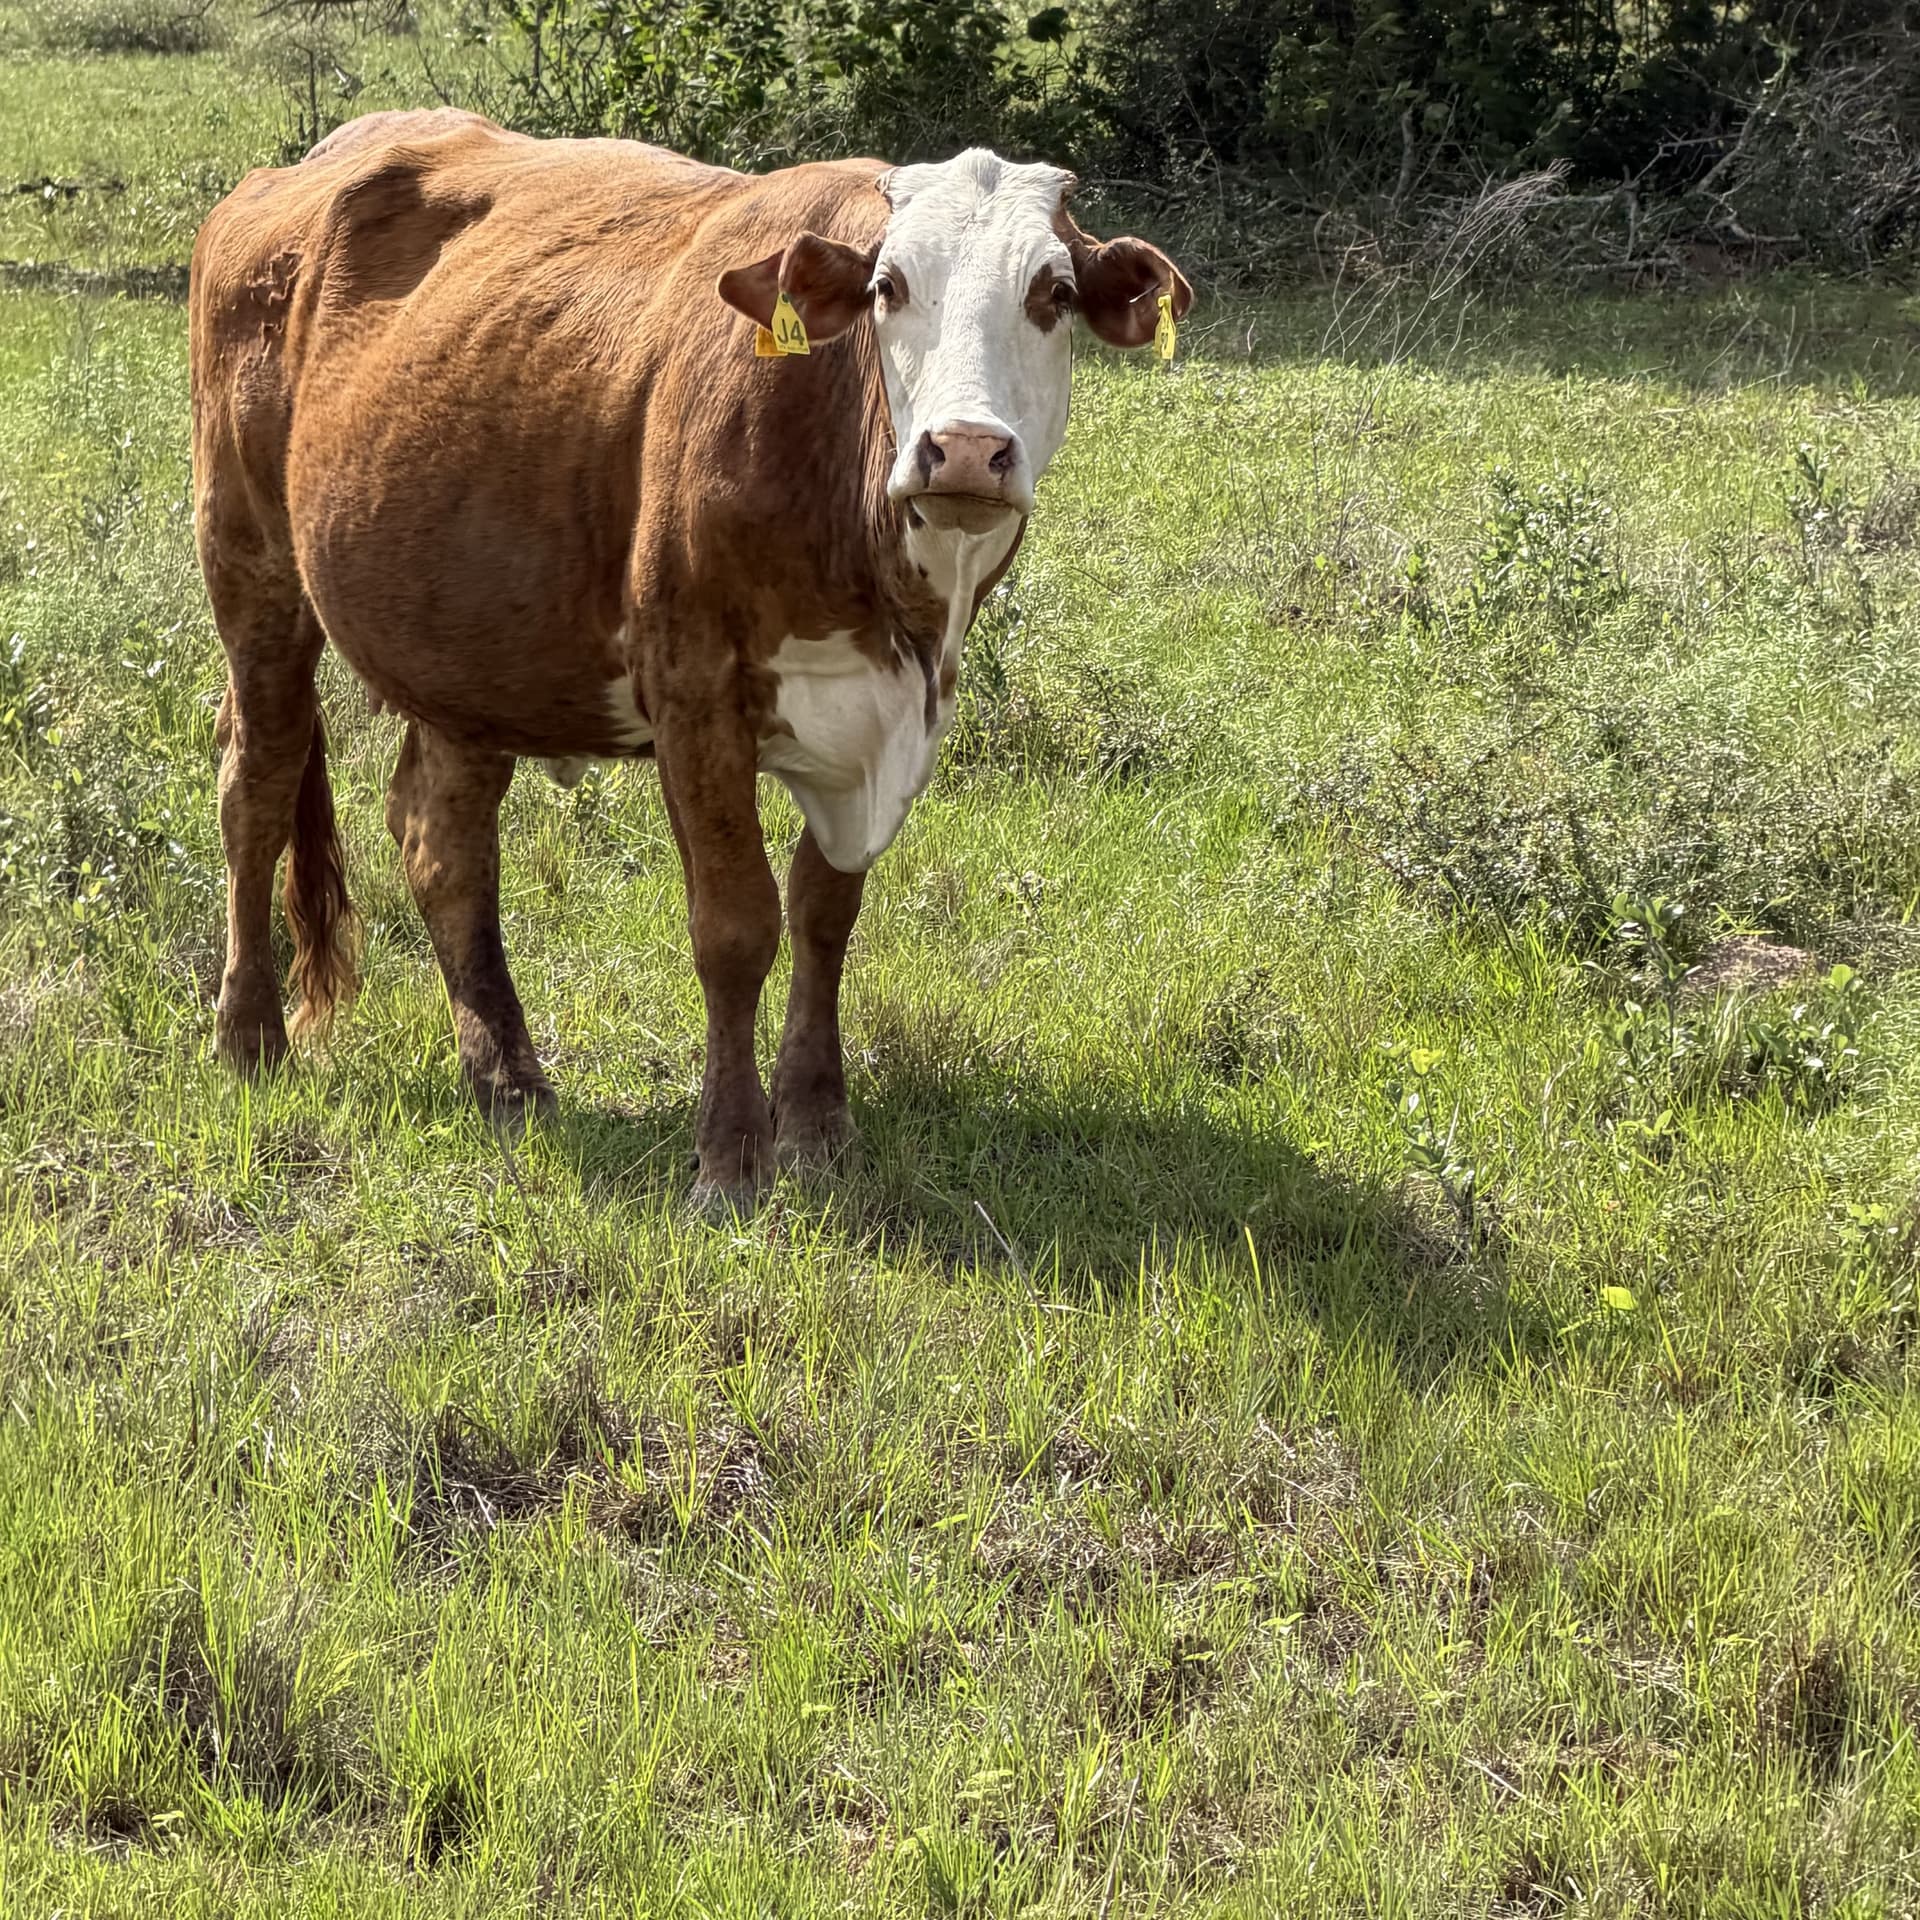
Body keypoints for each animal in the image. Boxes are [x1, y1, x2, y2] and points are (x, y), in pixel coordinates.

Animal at [189, 109, 1191, 1207]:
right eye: (890, 287)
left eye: (1053, 294)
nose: (965, 448)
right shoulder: (695, 690)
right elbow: (736, 923)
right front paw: (731, 1156)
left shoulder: (887, 717)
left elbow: (826, 913)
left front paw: (818, 1124)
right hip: (252, 570)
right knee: (257, 787)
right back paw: (249, 1036)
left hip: (466, 642)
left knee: (442, 842)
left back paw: (507, 1077)